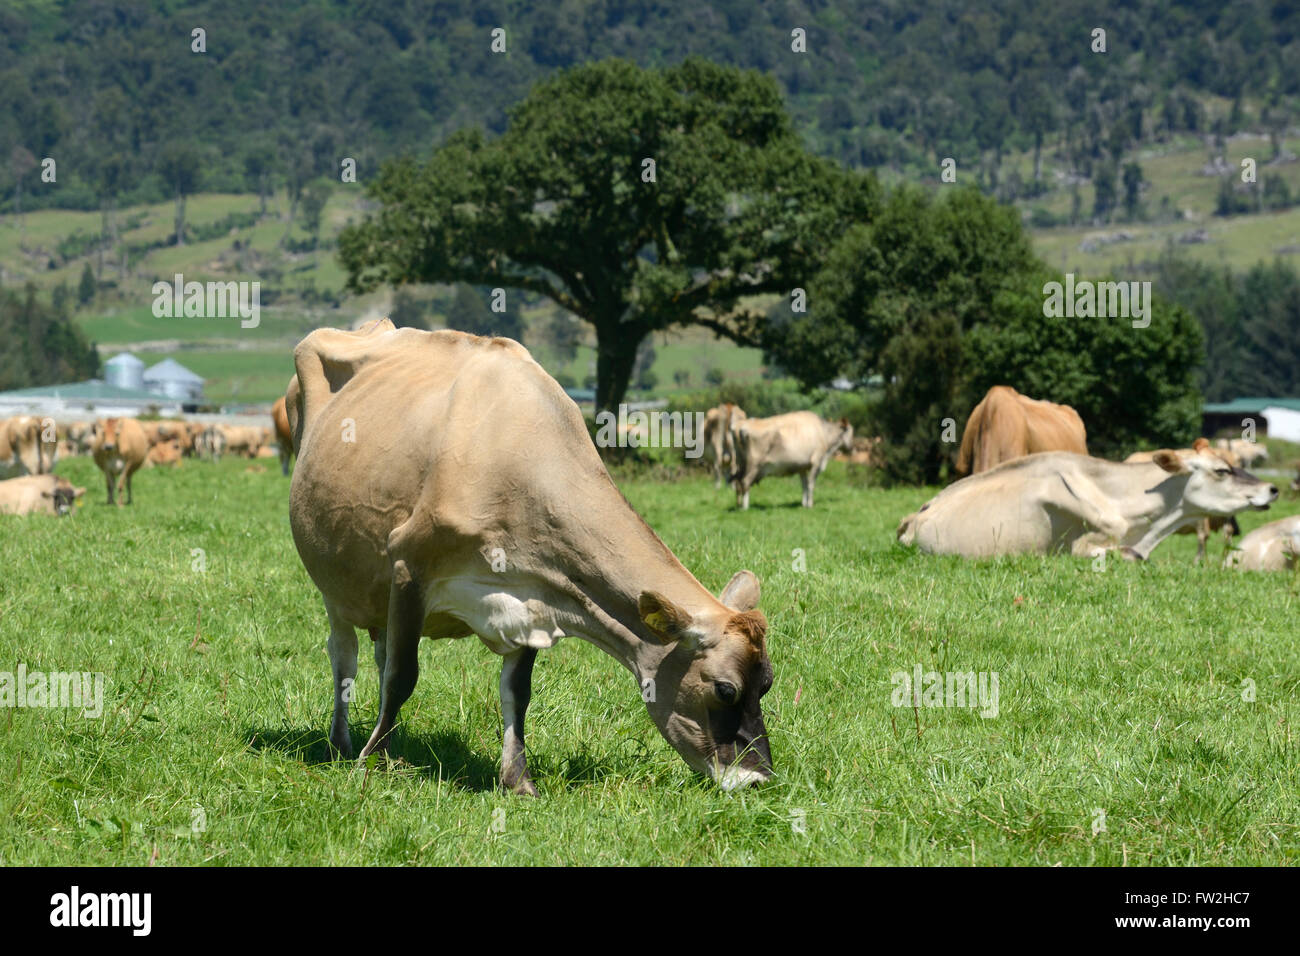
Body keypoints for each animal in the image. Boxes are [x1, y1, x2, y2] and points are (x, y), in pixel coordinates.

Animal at [287, 319, 769, 790]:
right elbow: (403, 676)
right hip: (335, 581)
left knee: (379, 650)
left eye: (766, 684)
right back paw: (342, 744)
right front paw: (371, 763)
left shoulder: (534, 592)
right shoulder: (408, 564)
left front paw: (517, 780)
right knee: (344, 655)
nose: (758, 779)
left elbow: (516, 692)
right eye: (725, 689)